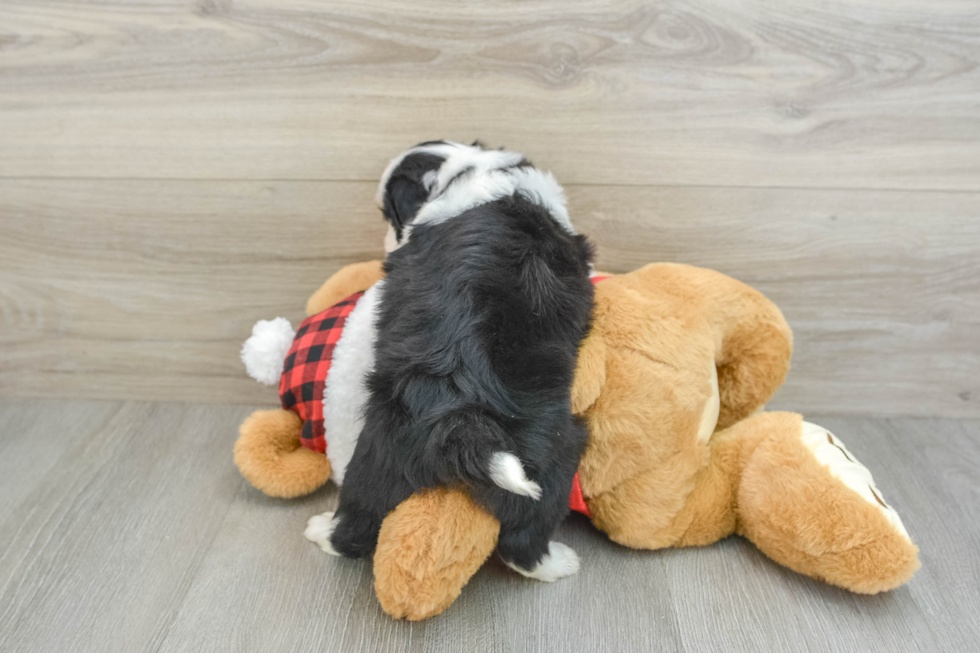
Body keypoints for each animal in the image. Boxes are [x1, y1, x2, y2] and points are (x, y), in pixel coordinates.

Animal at [310, 140, 592, 580]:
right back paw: (559, 564)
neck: (466, 169)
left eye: (388, 214)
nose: (387, 240)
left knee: (361, 514)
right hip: (552, 452)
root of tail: (458, 415)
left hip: (383, 449)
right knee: (524, 537)